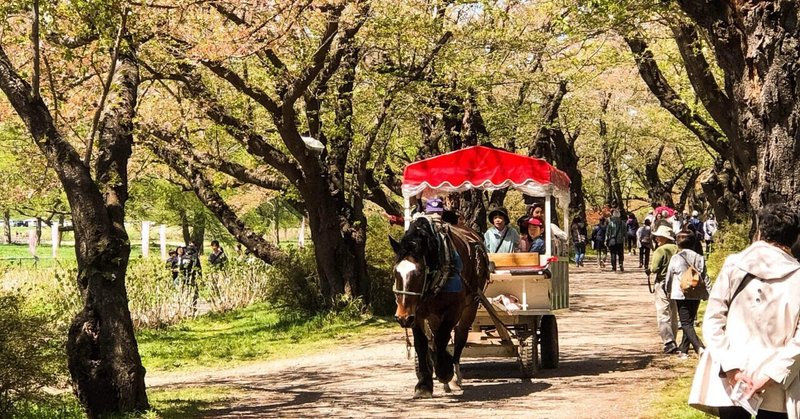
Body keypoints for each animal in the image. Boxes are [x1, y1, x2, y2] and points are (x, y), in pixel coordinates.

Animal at [388, 218, 488, 398]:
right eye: (396, 272)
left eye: (419, 273)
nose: (402, 317)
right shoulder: (417, 314)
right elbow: (422, 344)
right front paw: (424, 384)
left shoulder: (453, 311)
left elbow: (442, 339)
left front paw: (444, 372)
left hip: (470, 306)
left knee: (460, 336)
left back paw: (455, 376)